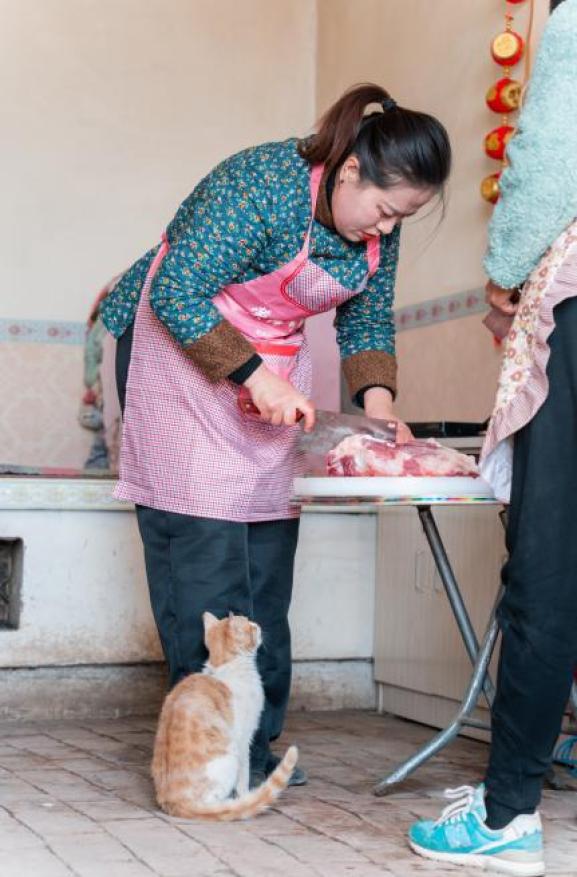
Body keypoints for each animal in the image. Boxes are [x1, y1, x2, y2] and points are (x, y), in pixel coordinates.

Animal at [151, 608, 294, 820]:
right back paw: (232, 804)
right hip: (229, 755)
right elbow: (244, 775)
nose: (257, 624)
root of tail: (173, 801)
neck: (225, 667)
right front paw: (245, 796)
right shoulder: (244, 738)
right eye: (250, 625)